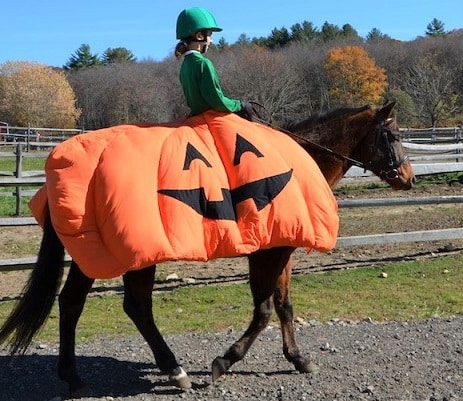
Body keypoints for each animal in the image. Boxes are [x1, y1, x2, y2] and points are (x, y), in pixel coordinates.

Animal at [0, 101, 416, 396]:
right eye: (394, 136)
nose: (409, 178)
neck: (301, 157)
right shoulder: (266, 253)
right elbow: (264, 311)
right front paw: (224, 360)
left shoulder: (282, 248)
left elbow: (284, 306)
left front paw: (298, 358)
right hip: (131, 255)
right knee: (132, 306)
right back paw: (172, 369)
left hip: (96, 252)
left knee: (74, 302)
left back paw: (74, 375)